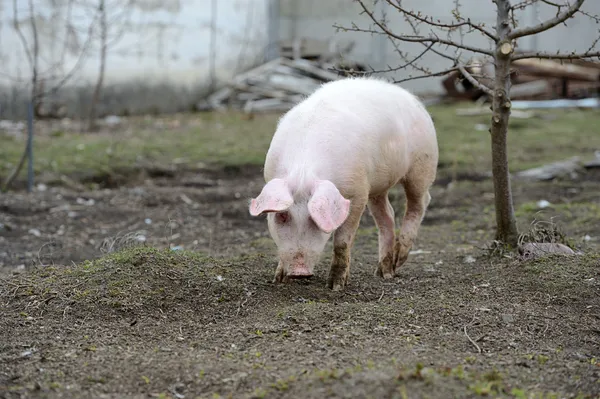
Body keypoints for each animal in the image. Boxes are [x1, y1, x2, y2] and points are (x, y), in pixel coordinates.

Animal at [246, 77, 438, 290]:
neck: (304, 170)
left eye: (315, 219)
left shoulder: (357, 191)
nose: (299, 272)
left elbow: (342, 241)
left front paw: (335, 286)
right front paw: (279, 279)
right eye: (282, 216)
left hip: (423, 164)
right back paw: (384, 273)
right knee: (387, 213)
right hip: (377, 185)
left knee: (419, 202)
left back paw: (399, 258)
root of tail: (414, 100)